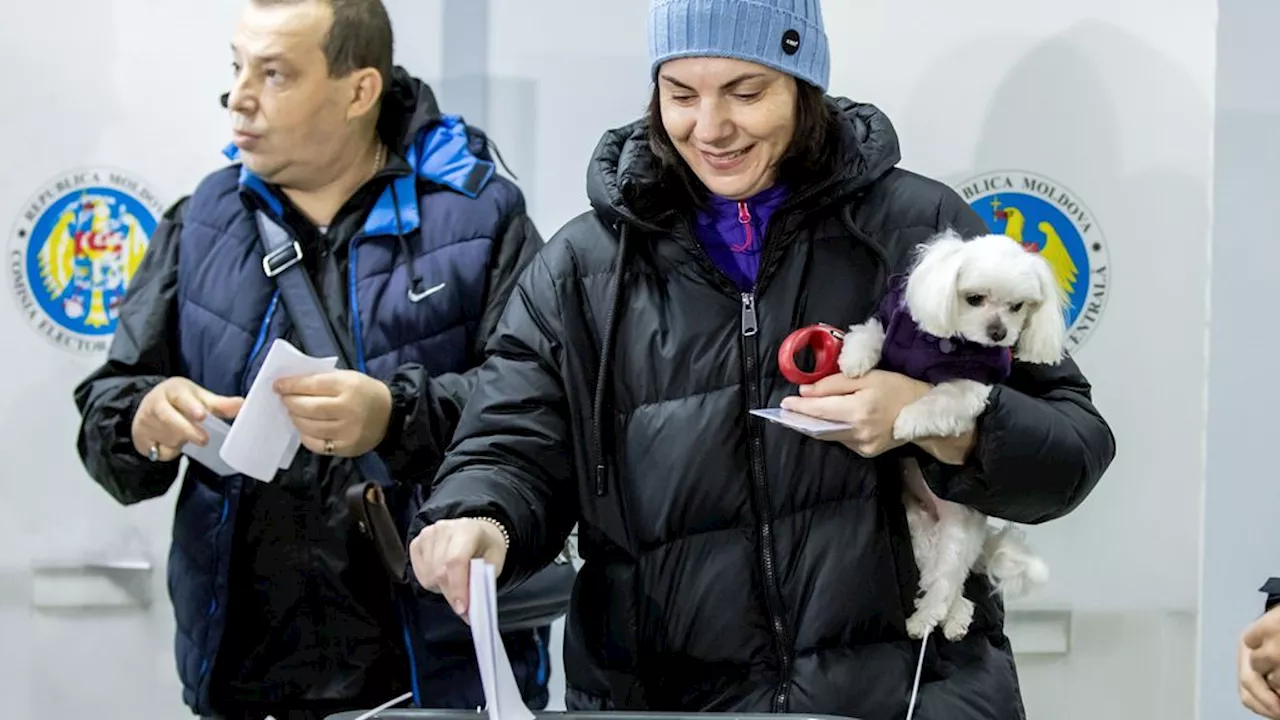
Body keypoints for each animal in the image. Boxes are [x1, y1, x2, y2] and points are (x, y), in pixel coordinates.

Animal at [839, 229, 1059, 638]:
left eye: (1017, 306)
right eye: (974, 298)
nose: (999, 333)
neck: (948, 342)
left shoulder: (970, 387)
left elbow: (940, 401)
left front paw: (907, 420)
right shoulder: (891, 323)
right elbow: (870, 333)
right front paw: (854, 359)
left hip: (958, 533)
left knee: (946, 586)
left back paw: (929, 621)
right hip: (920, 532)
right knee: (950, 586)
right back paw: (953, 616)